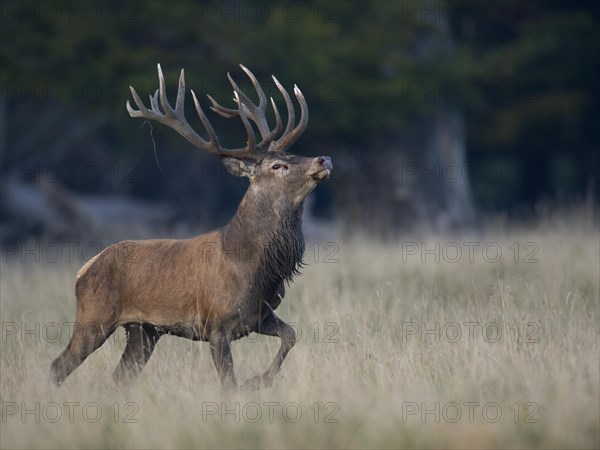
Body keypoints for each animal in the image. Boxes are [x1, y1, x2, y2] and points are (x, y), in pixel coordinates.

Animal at [50, 64, 332, 390]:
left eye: (290, 155)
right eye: (277, 165)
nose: (324, 158)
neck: (254, 267)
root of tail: (84, 269)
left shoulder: (260, 314)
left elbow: (292, 335)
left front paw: (259, 379)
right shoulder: (216, 324)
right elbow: (228, 382)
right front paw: (252, 381)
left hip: (143, 329)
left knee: (121, 375)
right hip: (94, 316)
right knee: (59, 365)